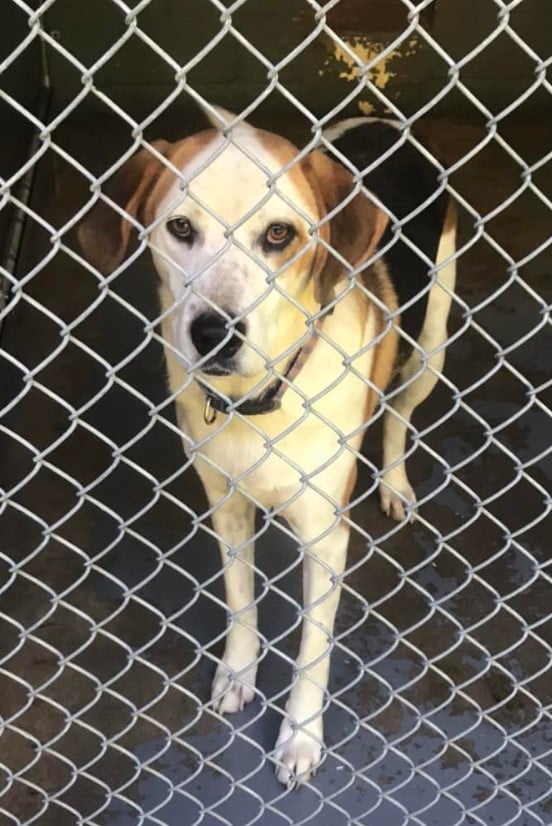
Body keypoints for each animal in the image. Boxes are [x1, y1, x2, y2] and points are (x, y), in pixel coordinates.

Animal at [77, 108, 458, 784]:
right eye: (180, 227)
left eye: (279, 234)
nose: (214, 333)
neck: (258, 402)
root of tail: (387, 120)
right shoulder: (225, 506)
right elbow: (240, 601)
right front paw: (238, 672)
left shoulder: (327, 539)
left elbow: (312, 650)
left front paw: (300, 737)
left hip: (431, 341)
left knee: (397, 414)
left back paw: (394, 484)